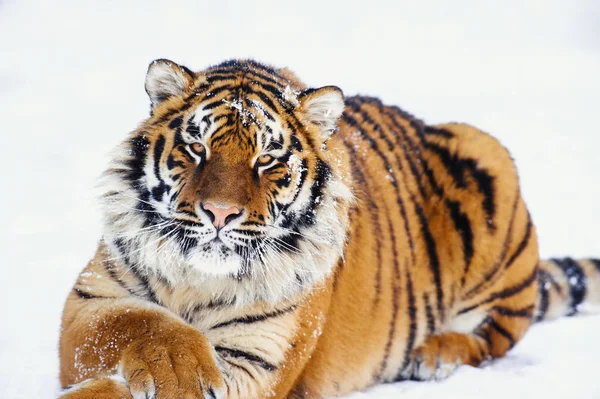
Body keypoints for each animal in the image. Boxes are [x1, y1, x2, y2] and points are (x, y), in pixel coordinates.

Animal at [57, 59, 600, 399]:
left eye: (267, 159)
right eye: (197, 148)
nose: (219, 213)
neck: (200, 280)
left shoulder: (256, 361)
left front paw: (181, 378)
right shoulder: (88, 304)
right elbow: (140, 322)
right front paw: (178, 368)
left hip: (487, 157)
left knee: (492, 337)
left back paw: (434, 354)